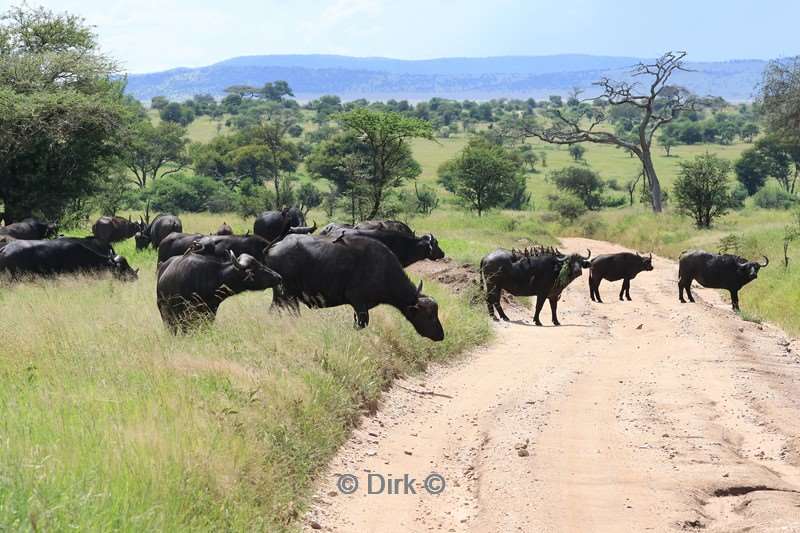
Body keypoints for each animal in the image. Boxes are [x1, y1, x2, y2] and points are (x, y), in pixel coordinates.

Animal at [268, 234, 444, 340]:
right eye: (429, 316)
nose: (441, 335)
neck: (382, 269)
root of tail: (274, 247)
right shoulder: (359, 303)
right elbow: (362, 324)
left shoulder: (360, 307)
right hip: (286, 296)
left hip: (284, 297)